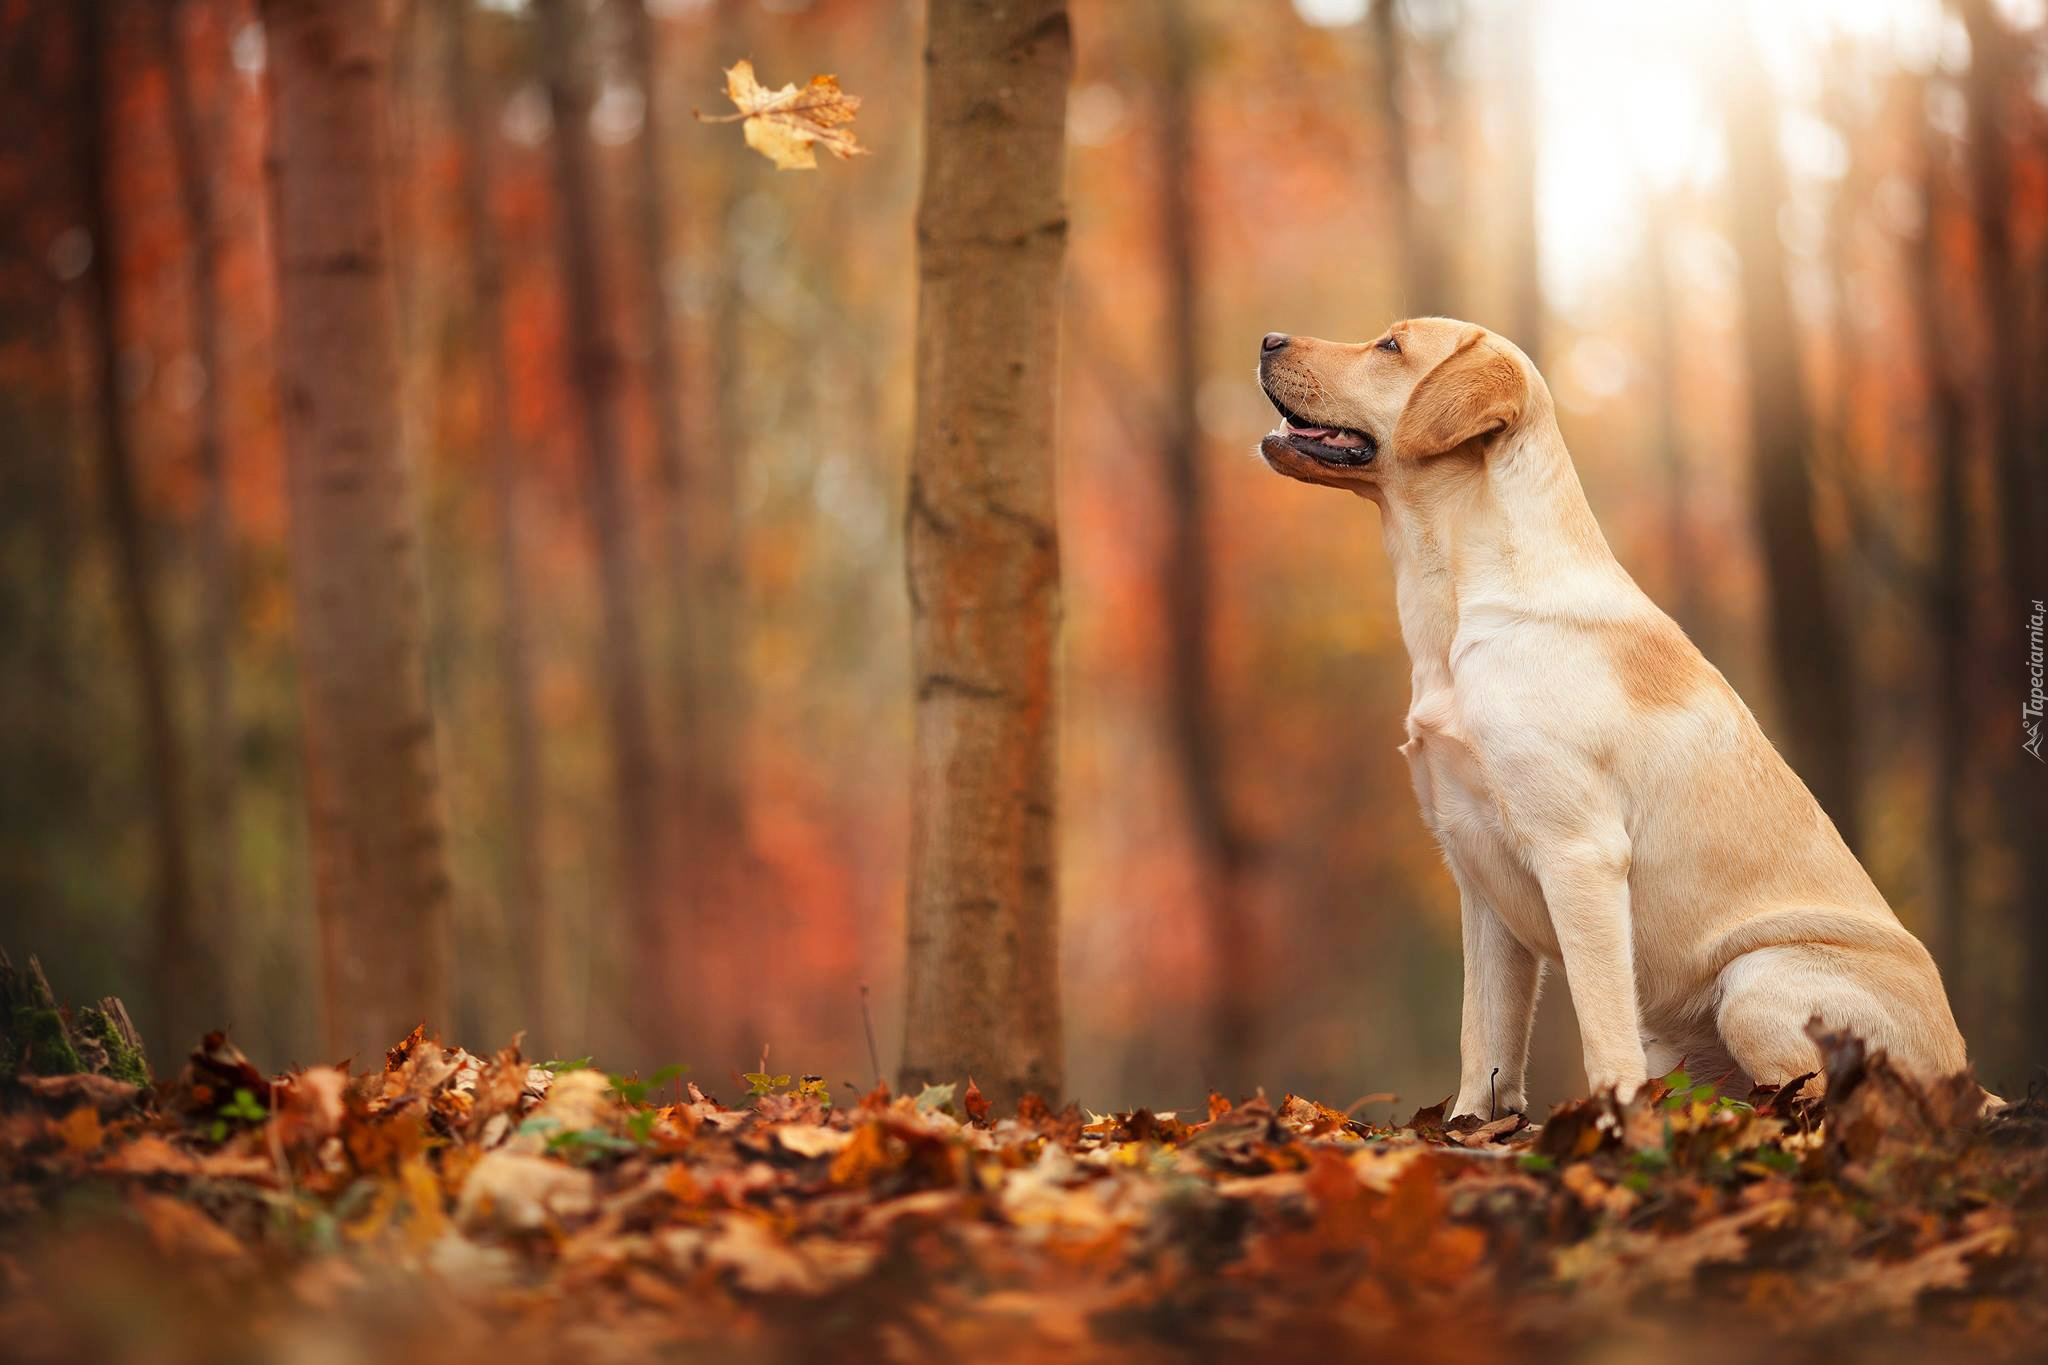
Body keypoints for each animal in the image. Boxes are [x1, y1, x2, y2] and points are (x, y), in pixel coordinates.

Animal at [1253, 321, 1974, 1121]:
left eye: (1389, 346)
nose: (1268, 338)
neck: (1459, 612)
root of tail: (1972, 1080)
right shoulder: (1475, 872)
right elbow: (1484, 1036)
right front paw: (1469, 1126)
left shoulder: (1579, 853)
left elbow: (1600, 1029)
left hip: (1756, 981)